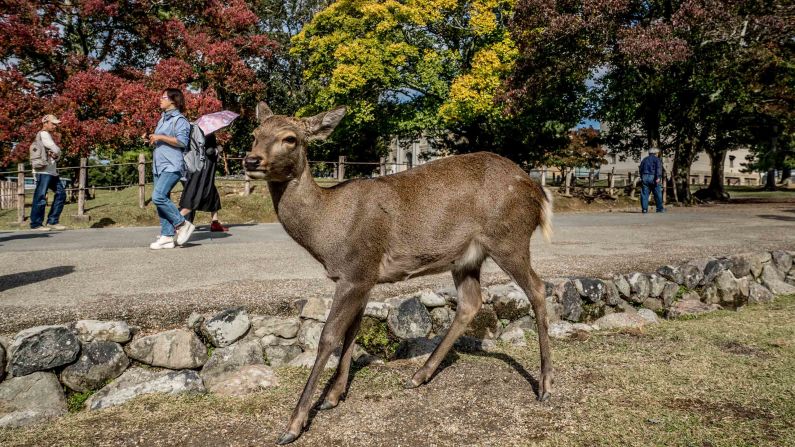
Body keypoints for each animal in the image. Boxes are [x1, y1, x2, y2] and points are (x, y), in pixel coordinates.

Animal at [243, 102, 552, 444]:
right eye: (254, 133)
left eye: (290, 138)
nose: (251, 159)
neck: (327, 230)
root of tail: (539, 193)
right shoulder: (363, 277)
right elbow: (353, 331)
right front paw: (334, 396)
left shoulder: (355, 270)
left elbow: (329, 337)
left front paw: (293, 425)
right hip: (466, 257)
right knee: (471, 302)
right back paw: (419, 375)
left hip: (509, 239)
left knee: (538, 288)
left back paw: (545, 385)